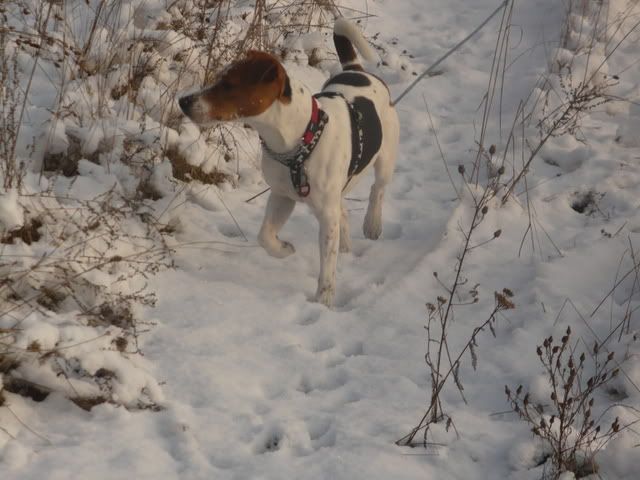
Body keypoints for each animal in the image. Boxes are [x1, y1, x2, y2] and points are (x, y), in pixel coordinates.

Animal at [179, 18, 399, 307]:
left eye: (228, 85)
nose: (183, 101)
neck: (298, 142)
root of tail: (355, 69)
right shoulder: (282, 196)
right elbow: (265, 236)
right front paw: (284, 249)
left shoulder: (324, 215)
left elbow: (327, 267)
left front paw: (324, 301)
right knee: (344, 210)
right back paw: (346, 245)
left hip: (385, 159)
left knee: (378, 190)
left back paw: (372, 223)